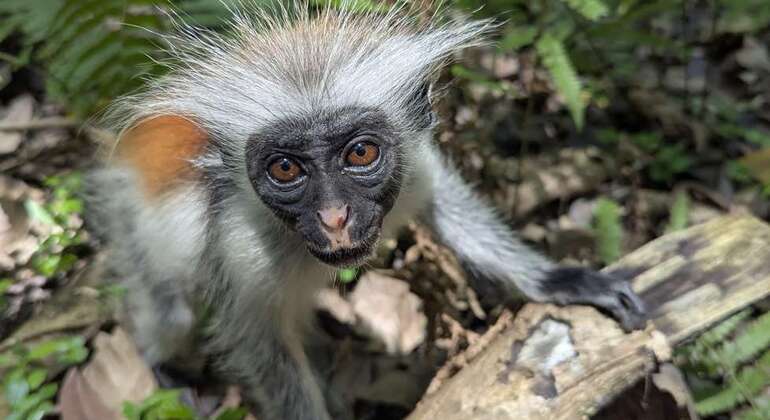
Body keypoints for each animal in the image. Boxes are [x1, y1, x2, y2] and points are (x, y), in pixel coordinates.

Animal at [83, 3, 646, 419]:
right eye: (284, 168)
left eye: (360, 154)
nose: (334, 217)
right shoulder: (239, 246)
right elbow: (259, 346)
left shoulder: (414, 168)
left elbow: (445, 200)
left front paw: (558, 281)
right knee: (170, 313)